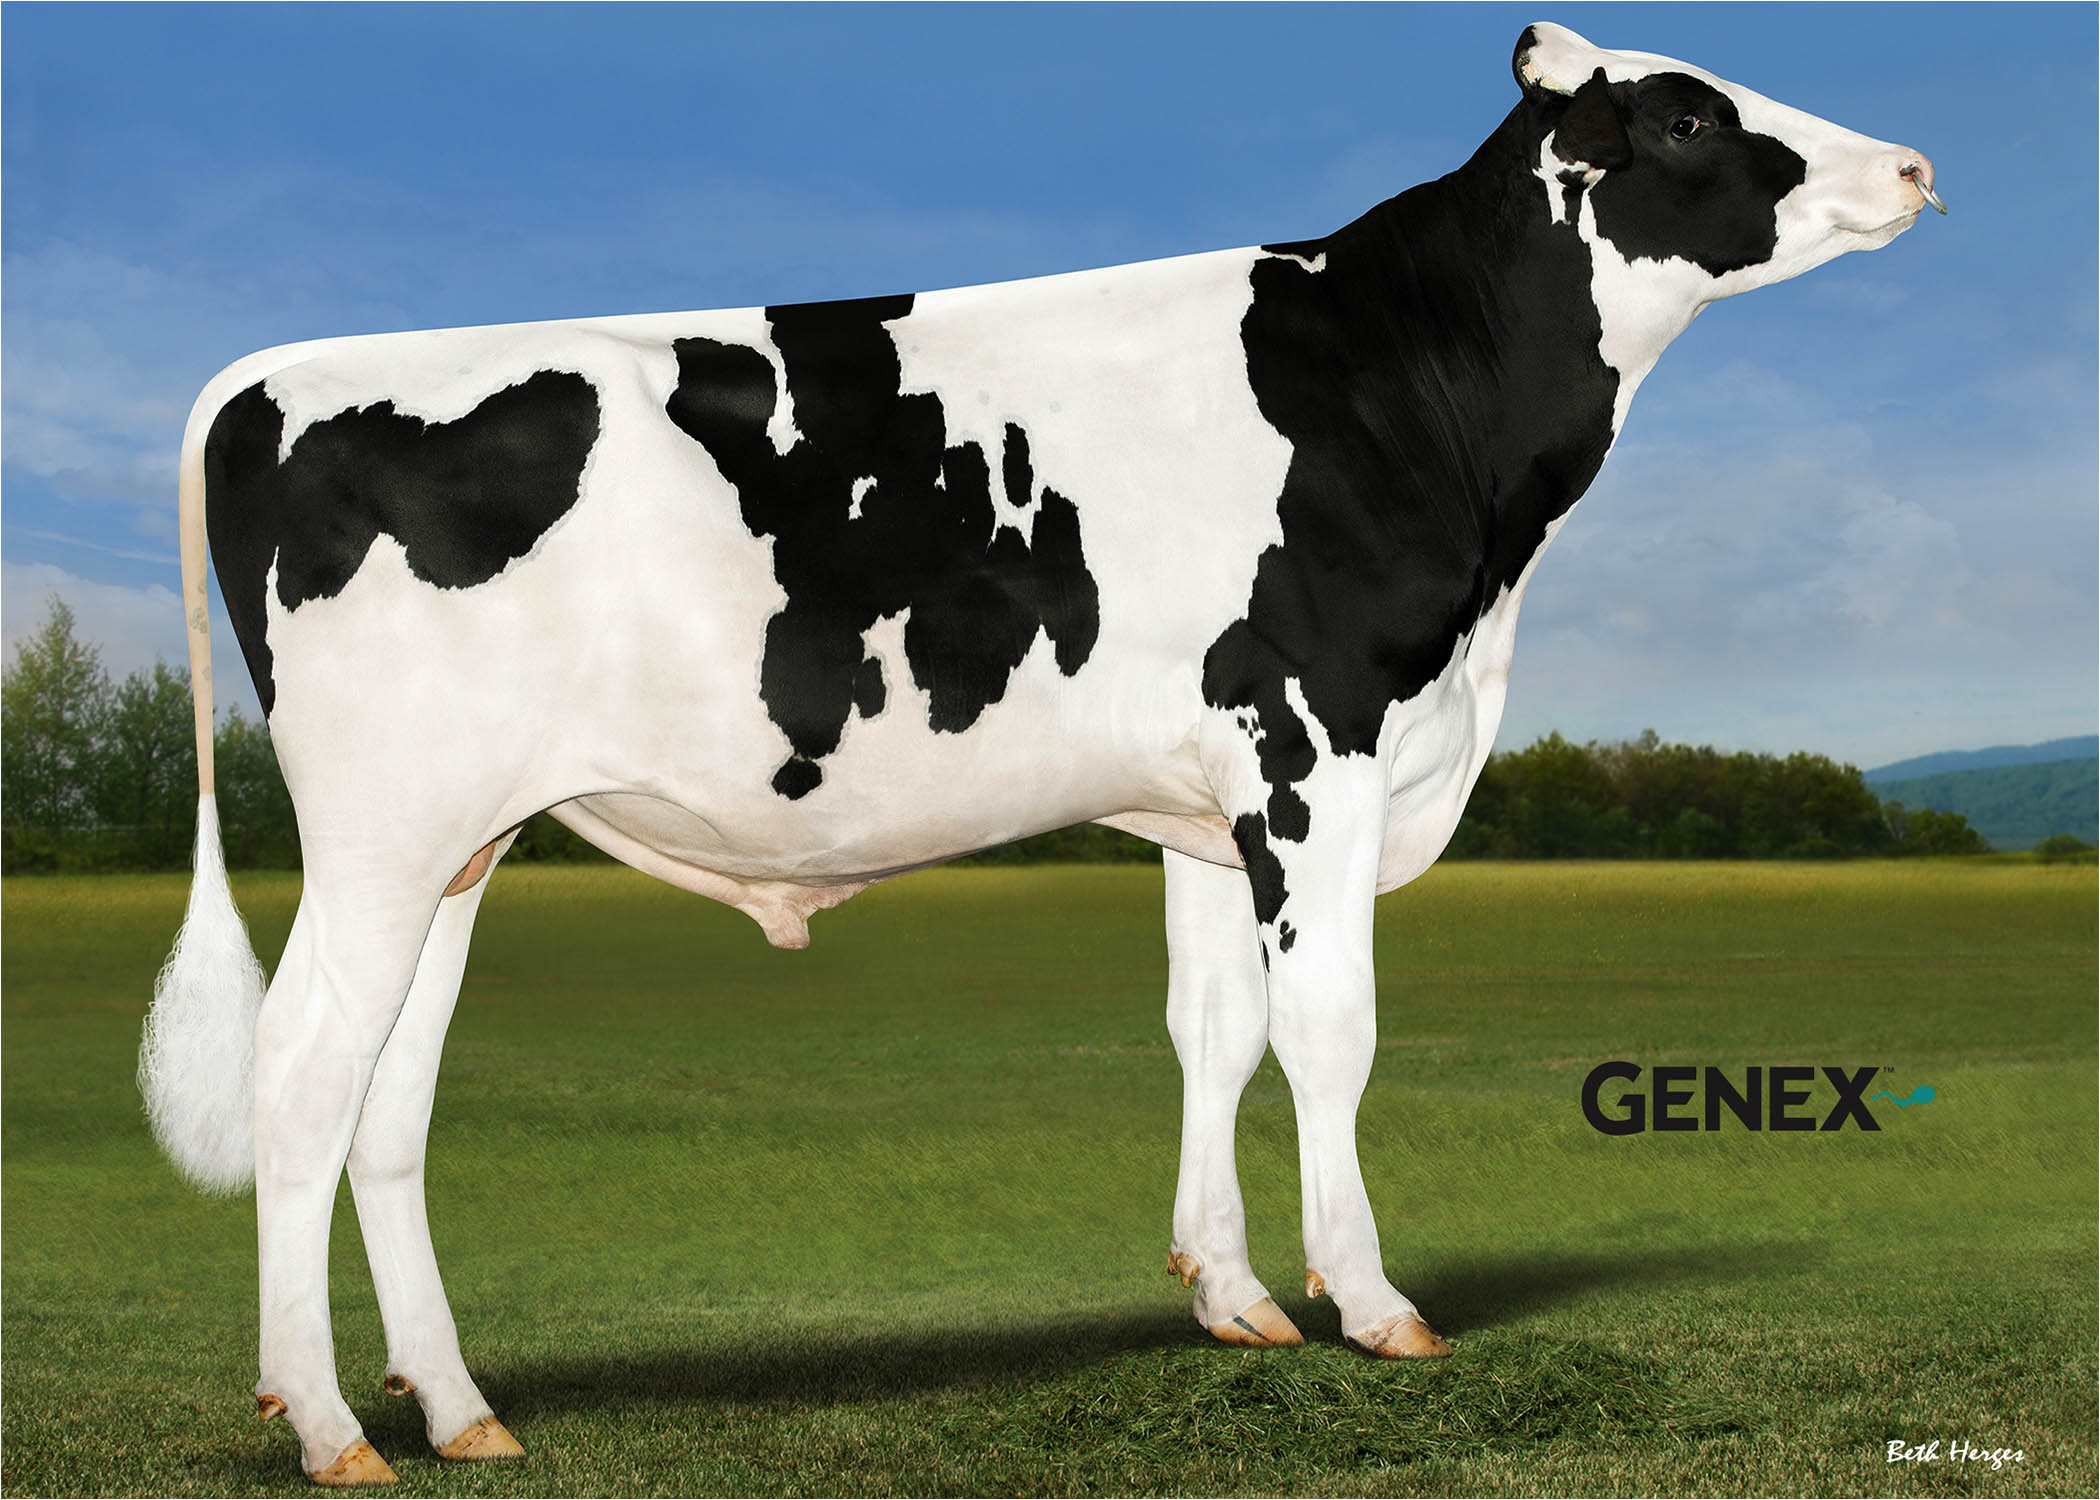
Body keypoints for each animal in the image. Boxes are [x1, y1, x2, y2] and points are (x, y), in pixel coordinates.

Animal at [140, 22, 1939, 1486]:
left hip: (458, 841)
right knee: (300, 1072)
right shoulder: (1318, 744)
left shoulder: (1211, 801)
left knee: (388, 1100)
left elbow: (1216, 1033)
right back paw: (325, 1426)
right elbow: (1329, 1035)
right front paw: (1370, 1302)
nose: (1917, 165)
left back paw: (455, 1412)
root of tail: (272, 374)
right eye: (1692, 114)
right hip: (380, 832)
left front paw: (1232, 1297)